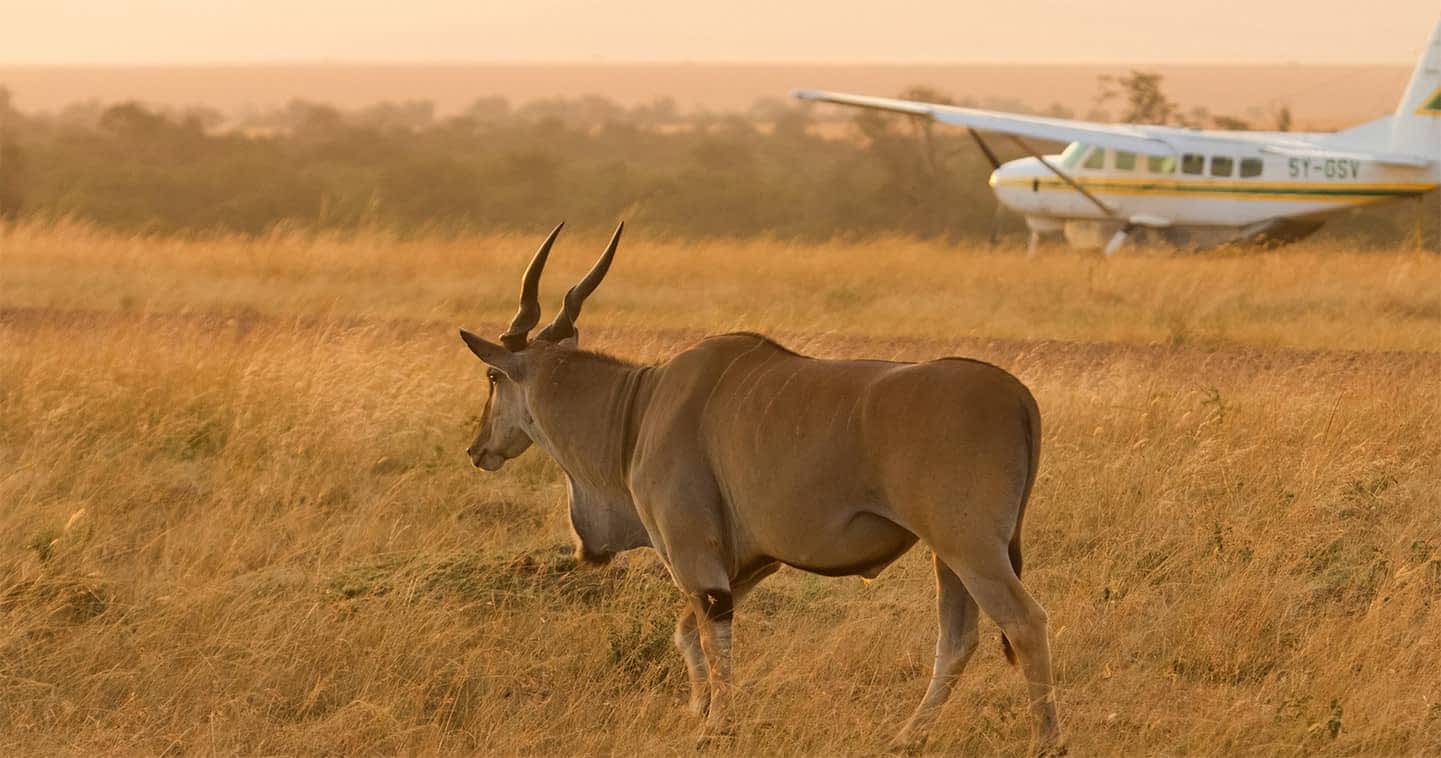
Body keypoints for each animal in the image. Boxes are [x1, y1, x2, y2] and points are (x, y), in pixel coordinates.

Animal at [455, 224, 1066, 755]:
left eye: (492, 377)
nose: (477, 449)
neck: (640, 405)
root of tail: (1018, 395)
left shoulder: (694, 555)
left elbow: (709, 633)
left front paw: (717, 726)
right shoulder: (750, 562)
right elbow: (688, 632)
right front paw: (701, 712)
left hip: (972, 549)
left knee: (1025, 622)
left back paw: (1045, 741)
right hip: (950, 556)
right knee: (957, 640)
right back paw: (905, 738)